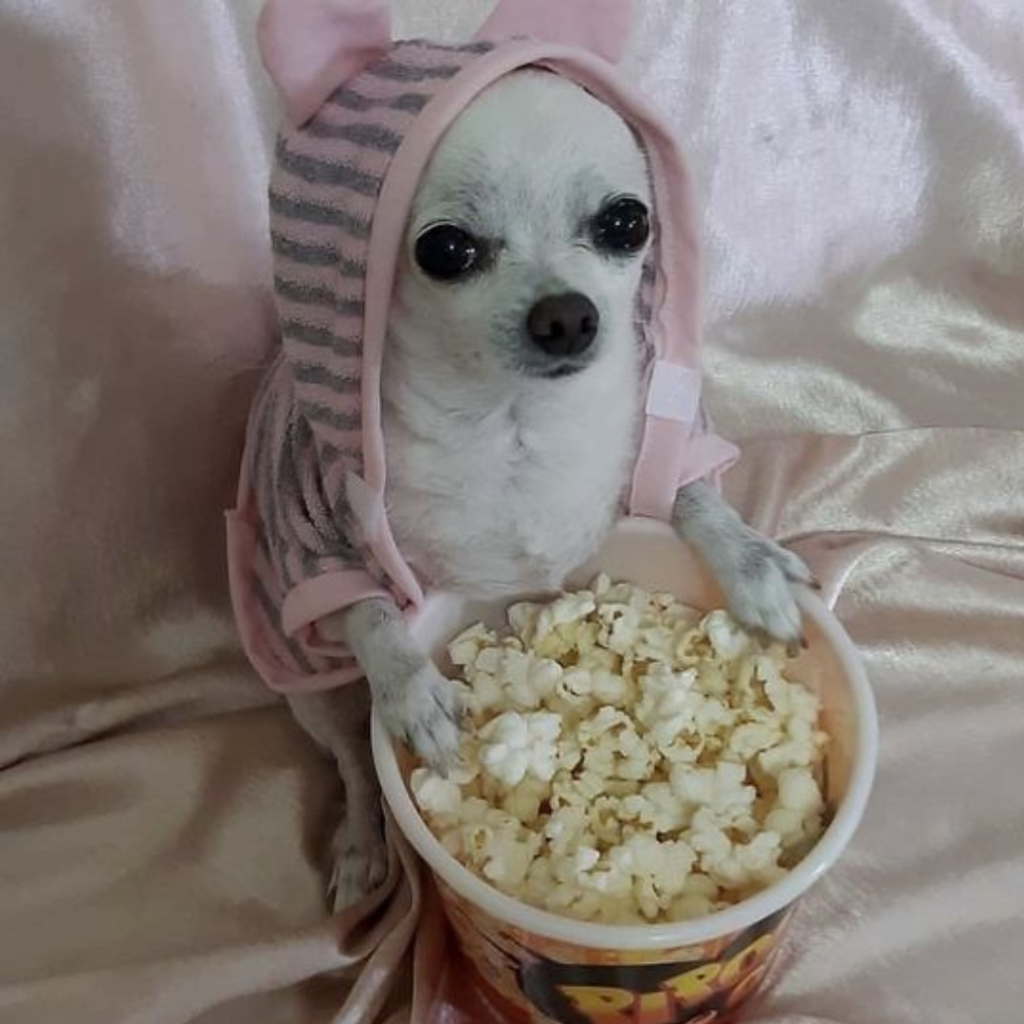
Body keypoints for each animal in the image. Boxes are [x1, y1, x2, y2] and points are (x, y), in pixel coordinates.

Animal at [274, 74, 815, 913]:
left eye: (627, 223)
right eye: (445, 249)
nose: (565, 314)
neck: (517, 417)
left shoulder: (654, 443)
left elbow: (693, 497)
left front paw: (752, 564)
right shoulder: (310, 529)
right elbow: (367, 610)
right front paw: (414, 689)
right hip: (312, 690)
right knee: (354, 764)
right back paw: (365, 847)